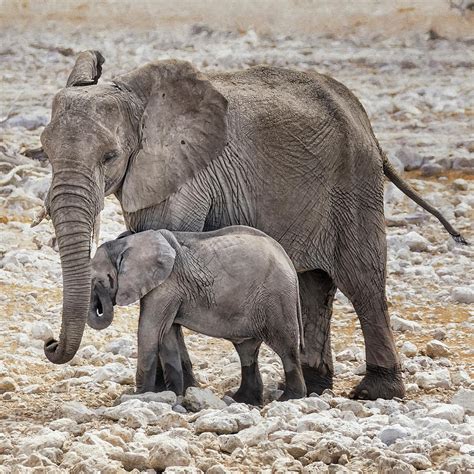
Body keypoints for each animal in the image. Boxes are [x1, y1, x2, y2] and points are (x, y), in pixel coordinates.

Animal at [89, 226, 308, 404]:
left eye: (99, 280)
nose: (100, 299)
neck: (126, 244)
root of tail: (288, 262)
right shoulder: (169, 289)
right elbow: (166, 335)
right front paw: (176, 396)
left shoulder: (166, 285)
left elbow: (150, 331)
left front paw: (138, 397)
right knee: (247, 351)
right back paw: (241, 399)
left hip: (277, 298)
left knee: (285, 347)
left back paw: (290, 398)